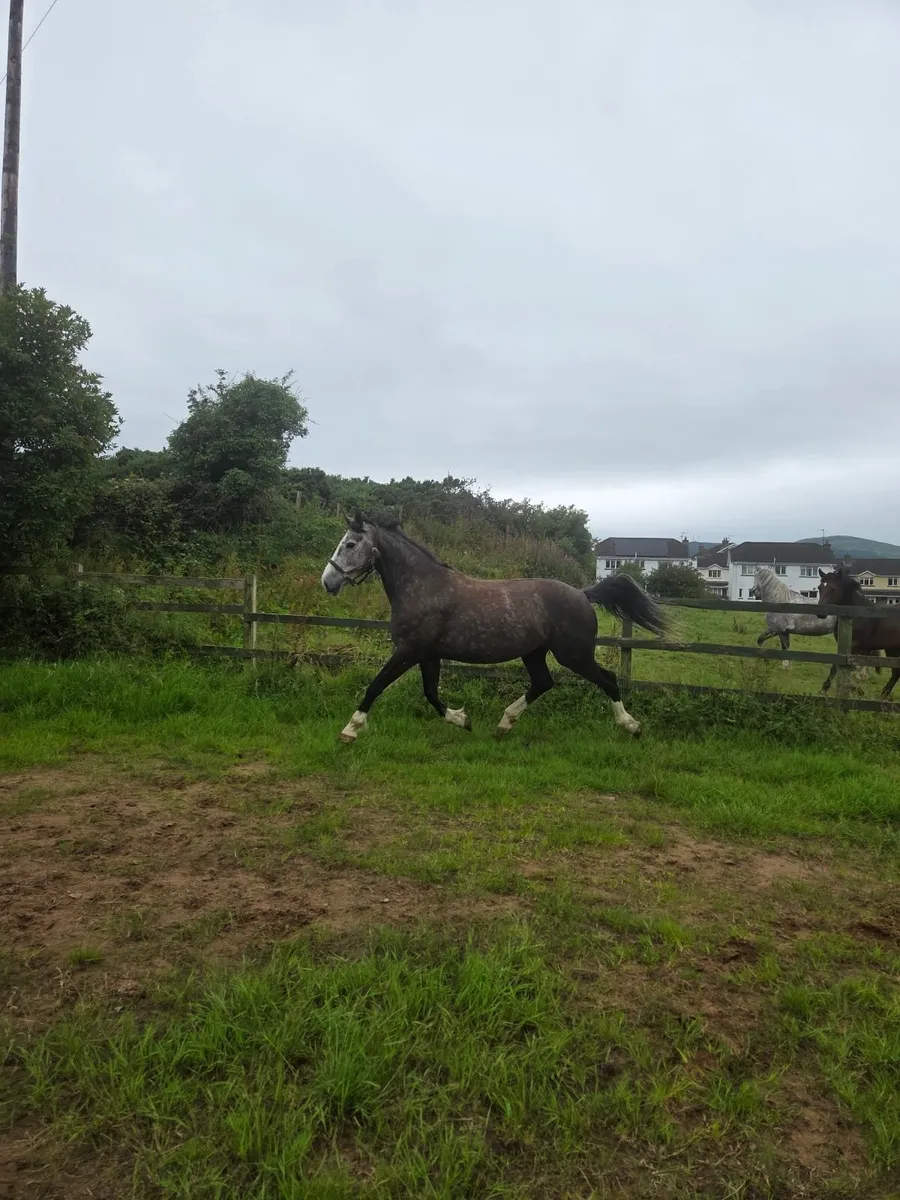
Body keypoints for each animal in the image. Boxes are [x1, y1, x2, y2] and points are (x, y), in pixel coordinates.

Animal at [320, 513, 667, 743]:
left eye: (350, 544)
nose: (328, 581)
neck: (422, 587)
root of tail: (582, 594)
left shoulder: (408, 650)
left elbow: (376, 685)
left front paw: (349, 729)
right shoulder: (428, 654)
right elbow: (431, 693)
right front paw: (462, 720)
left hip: (574, 655)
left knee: (607, 680)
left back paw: (632, 726)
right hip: (535, 653)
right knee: (543, 683)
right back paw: (504, 724)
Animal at [817, 567, 900, 700]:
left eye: (833, 588)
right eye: (819, 587)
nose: (821, 613)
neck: (856, 615)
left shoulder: (856, 648)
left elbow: (842, 667)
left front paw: (824, 690)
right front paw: (858, 690)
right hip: (892, 649)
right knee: (896, 672)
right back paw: (883, 695)